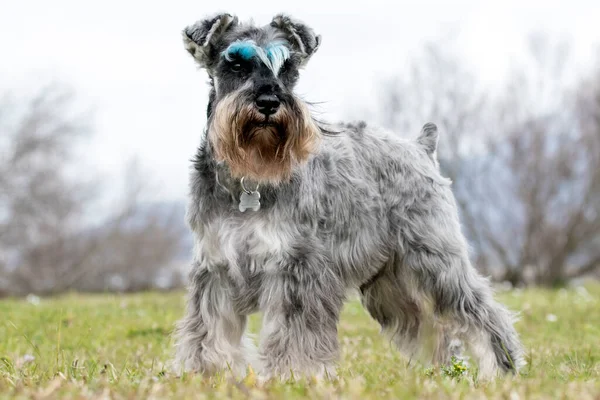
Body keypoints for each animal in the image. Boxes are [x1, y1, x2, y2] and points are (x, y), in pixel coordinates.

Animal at [173, 13, 524, 382]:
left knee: (480, 312)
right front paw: (204, 375)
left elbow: (295, 331)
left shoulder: (300, 267)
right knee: (433, 327)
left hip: (436, 261)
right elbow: (208, 329)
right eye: (236, 64)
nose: (269, 103)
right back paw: (443, 372)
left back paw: (502, 369)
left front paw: (294, 376)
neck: (250, 178)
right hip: (390, 283)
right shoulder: (215, 267)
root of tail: (421, 147)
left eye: (289, 69)